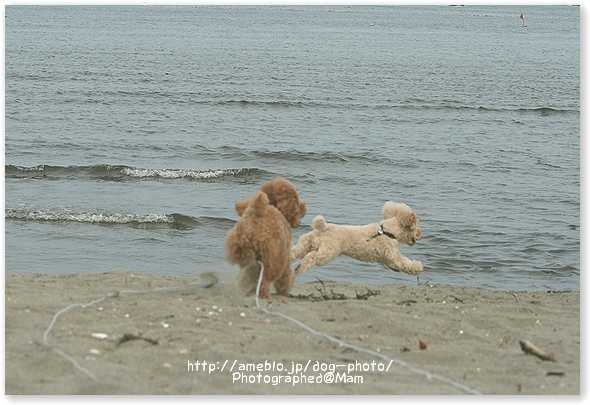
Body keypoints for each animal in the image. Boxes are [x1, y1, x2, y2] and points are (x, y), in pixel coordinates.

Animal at [291, 201, 423, 276]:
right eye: (416, 226)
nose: (420, 234)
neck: (388, 231)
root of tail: (325, 228)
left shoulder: (388, 259)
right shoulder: (393, 256)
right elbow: (405, 263)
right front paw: (418, 267)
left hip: (307, 243)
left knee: (295, 252)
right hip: (327, 252)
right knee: (311, 258)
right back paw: (299, 268)